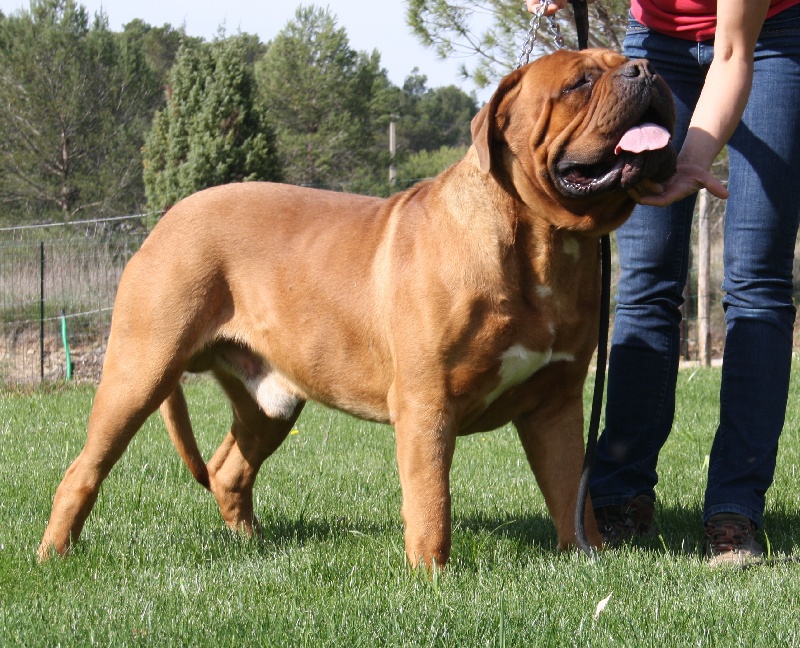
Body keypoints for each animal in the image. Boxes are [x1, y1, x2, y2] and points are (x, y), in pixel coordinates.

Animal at [37, 49, 676, 568]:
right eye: (581, 82)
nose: (647, 70)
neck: (544, 244)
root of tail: (166, 218)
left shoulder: (557, 402)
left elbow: (572, 491)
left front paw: (588, 558)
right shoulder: (427, 404)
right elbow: (431, 500)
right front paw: (431, 576)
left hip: (270, 401)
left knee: (228, 468)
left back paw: (251, 545)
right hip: (140, 370)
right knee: (83, 469)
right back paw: (53, 554)